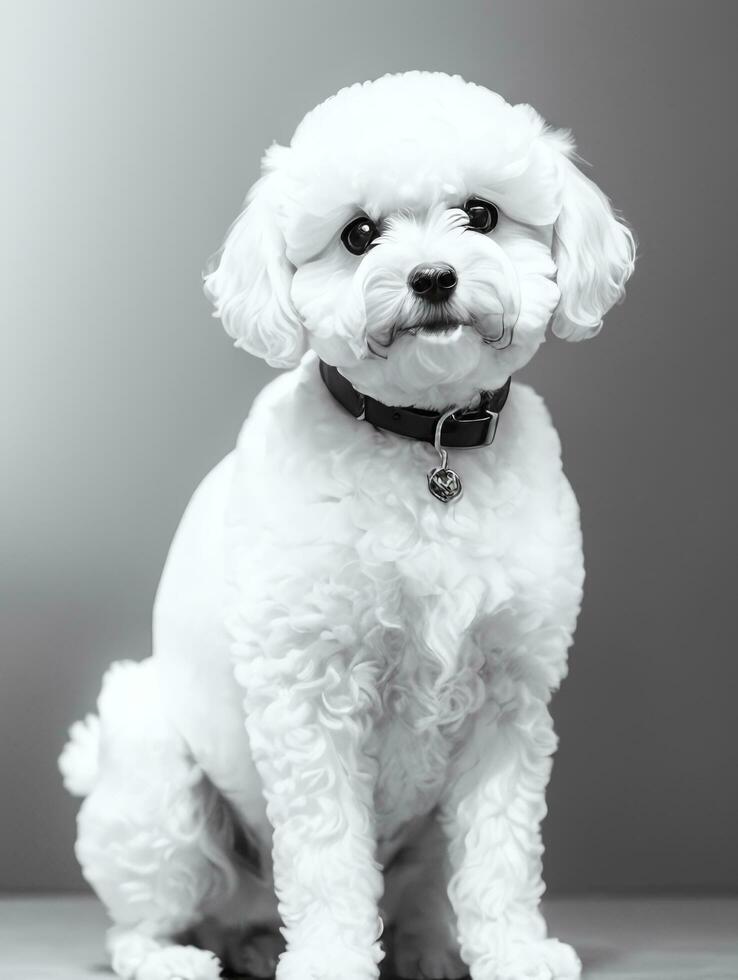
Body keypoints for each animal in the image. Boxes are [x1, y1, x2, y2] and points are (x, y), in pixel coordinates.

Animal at [60, 71, 632, 980]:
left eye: (482, 214)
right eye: (358, 235)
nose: (432, 276)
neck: (427, 446)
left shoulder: (509, 702)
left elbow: (501, 853)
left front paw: (512, 949)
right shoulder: (310, 699)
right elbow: (329, 861)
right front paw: (330, 959)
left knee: (418, 893)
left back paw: (419, 947)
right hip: (159, 787)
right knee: (142, 924)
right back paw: (183, 956)